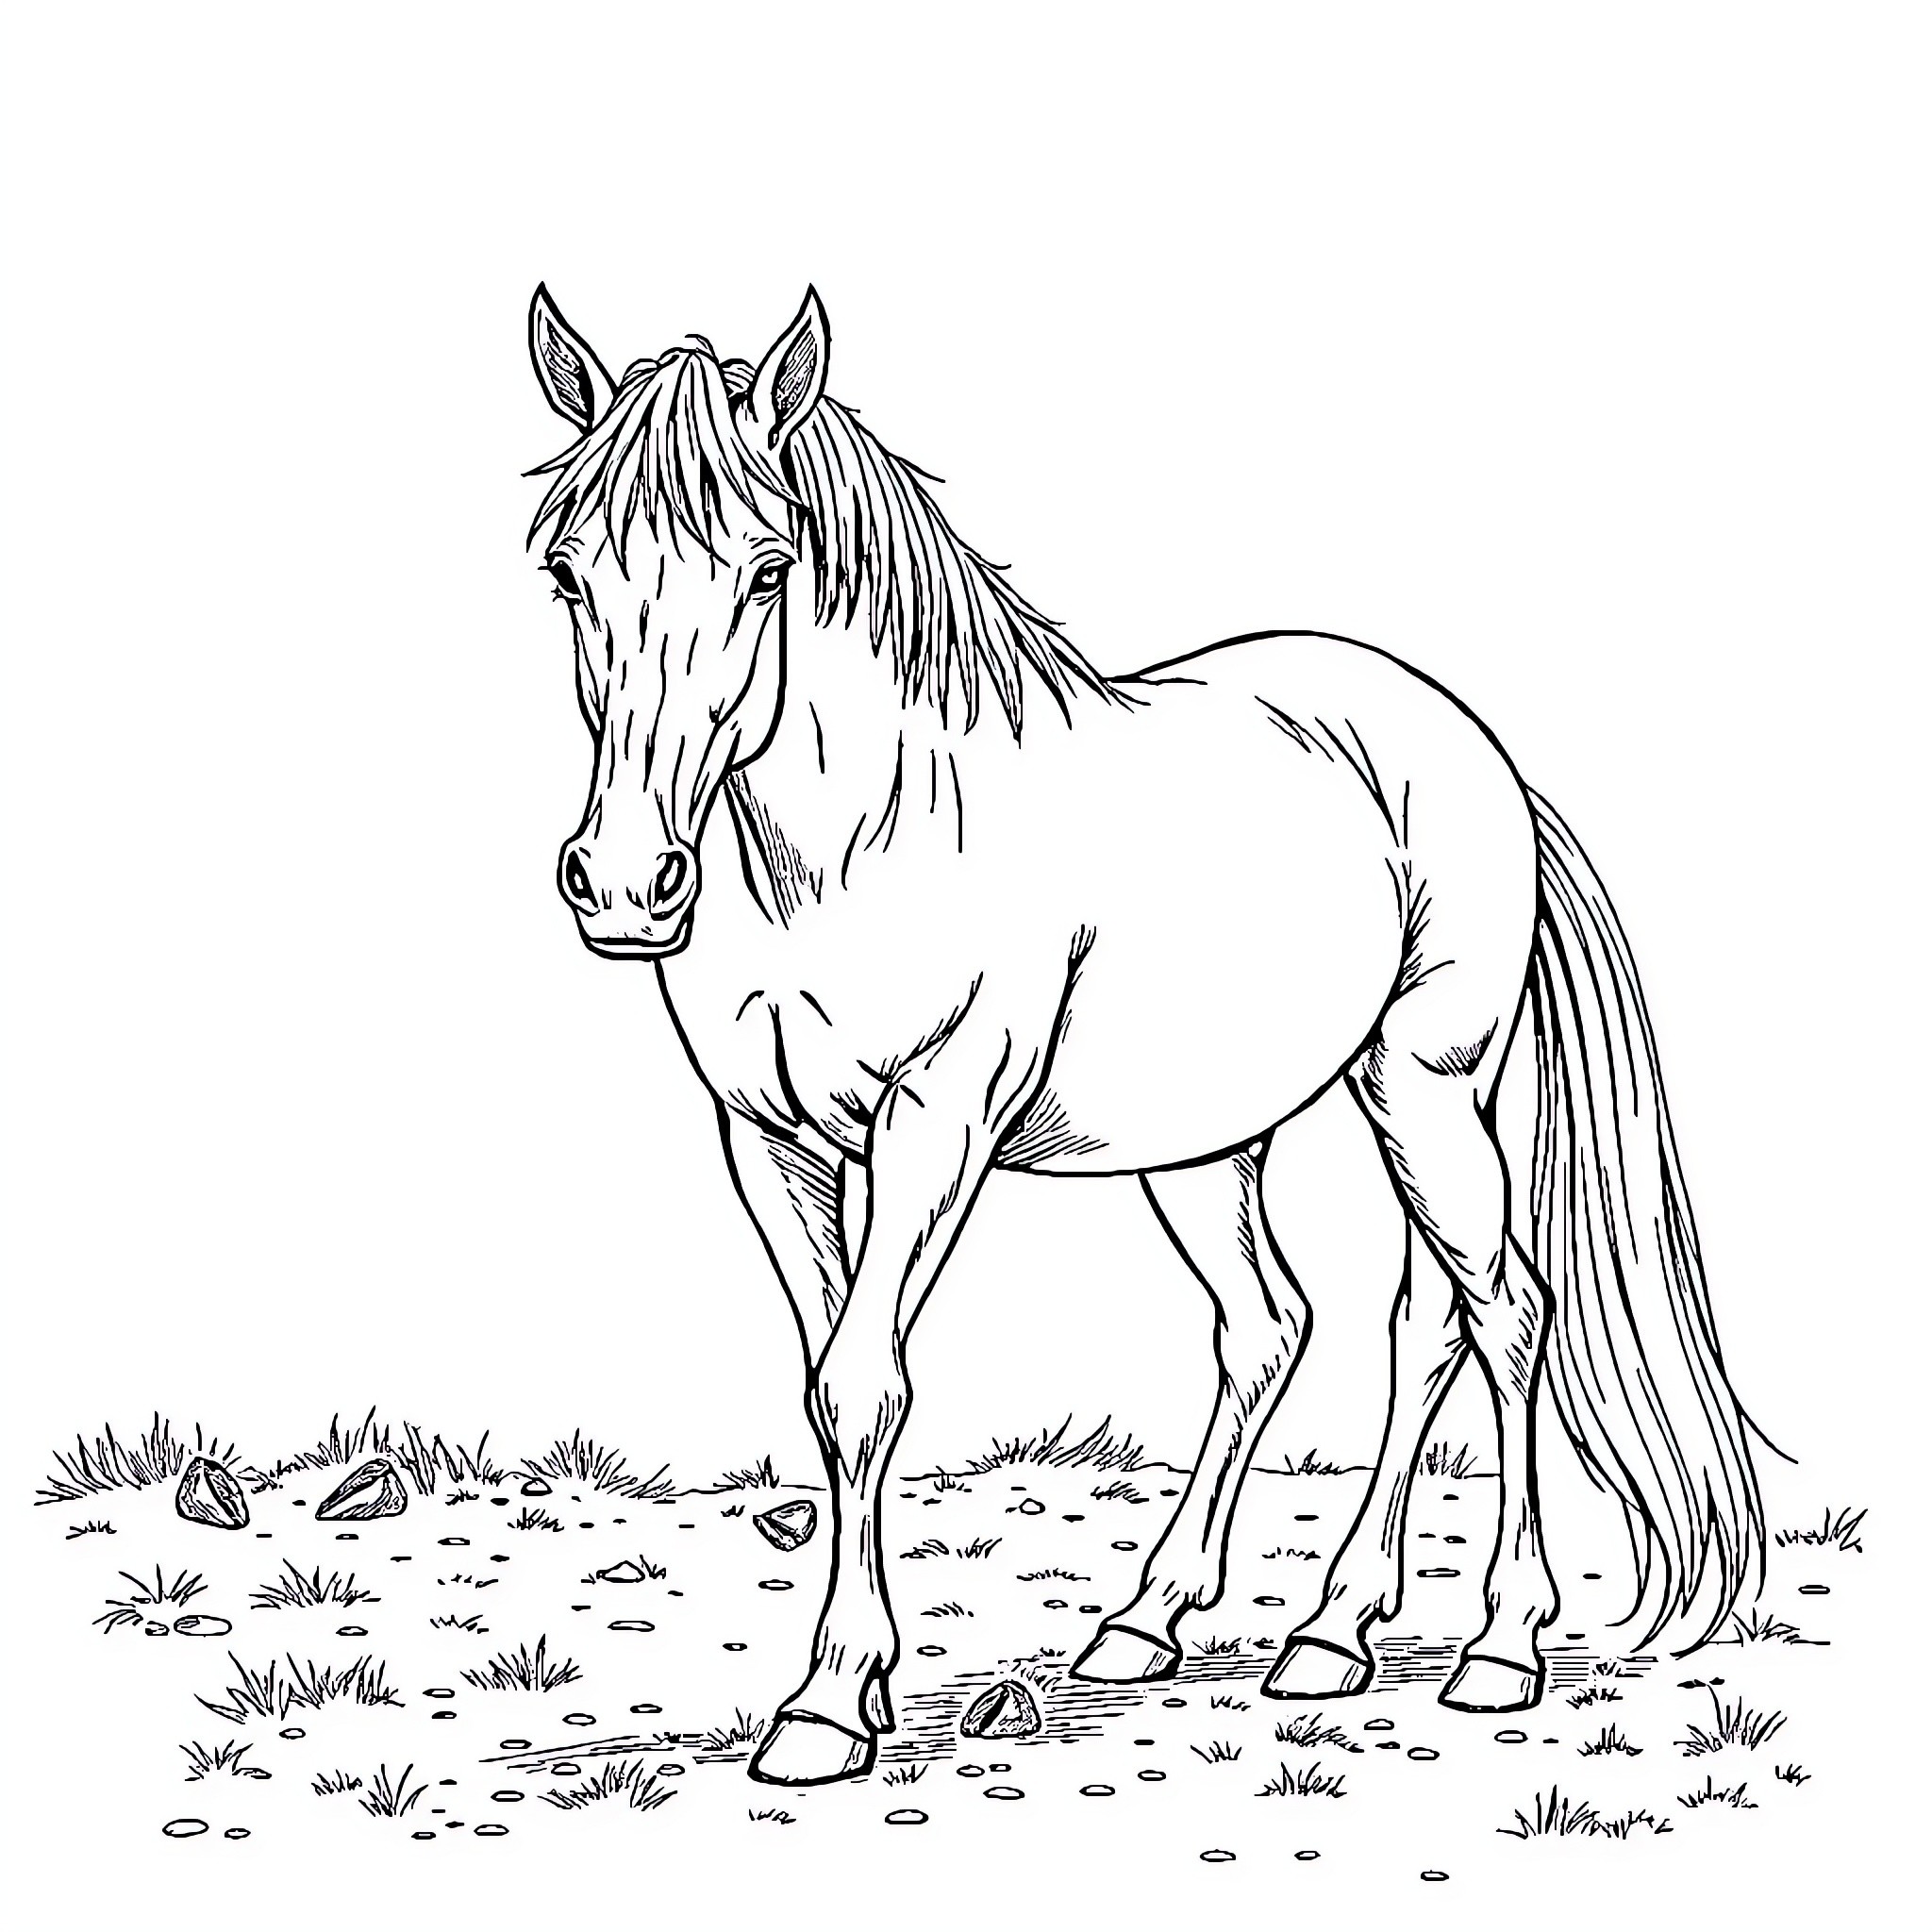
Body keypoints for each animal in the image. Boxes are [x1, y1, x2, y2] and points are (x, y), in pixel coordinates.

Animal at [521, 286, 1764, 1787]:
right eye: (568, 575)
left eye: (767, 572)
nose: (623, 885)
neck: (854, 845)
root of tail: (1470, 745)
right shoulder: (770, 1143)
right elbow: (827, 1388)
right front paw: (849, 1688)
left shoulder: (933, 1125)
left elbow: (870, 1383)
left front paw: (824, 1708)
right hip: (1209, 1139)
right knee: (1301, 1326)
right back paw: (1237, 1625)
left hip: (1422, 1084)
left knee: (1498, 1311)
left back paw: (1494, 1646)